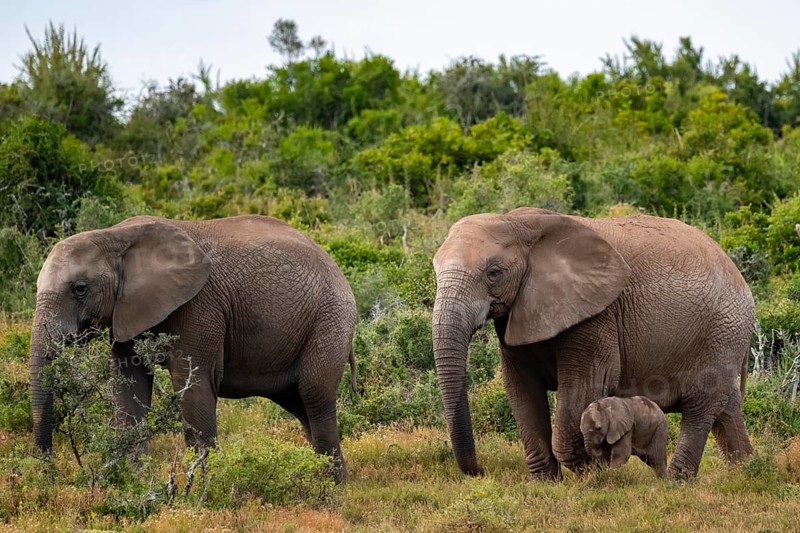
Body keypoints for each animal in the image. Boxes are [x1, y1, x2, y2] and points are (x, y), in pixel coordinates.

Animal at [29, 215, 356, 481]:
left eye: (80, 289)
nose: (49, 472)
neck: (116, 235)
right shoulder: (125, 314)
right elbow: (129, 385)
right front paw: (132, 479)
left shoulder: (199, 307)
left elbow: (193, 382)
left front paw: (205, 486)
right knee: (298, 402)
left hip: (330, 318)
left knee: (315, 395)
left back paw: (332, 487)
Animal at [432, 207, 754, 480]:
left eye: (494, 273)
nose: (480, 472)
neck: (517, 222)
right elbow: (521, 387)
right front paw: (545, 484)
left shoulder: (597, 315)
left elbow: (587, 381)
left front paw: (593, 476)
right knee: (727, 409)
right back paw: (746, 471)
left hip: (721, 333)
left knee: (701, 407)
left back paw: (678, 482)